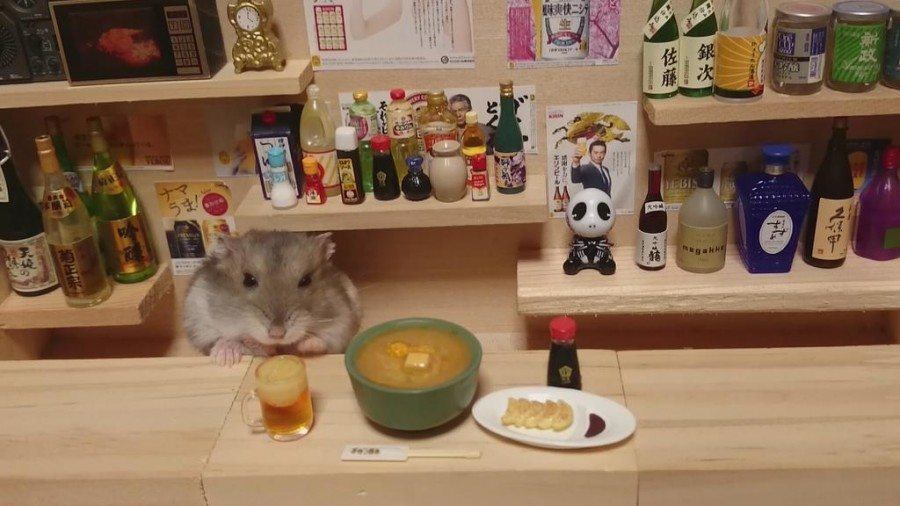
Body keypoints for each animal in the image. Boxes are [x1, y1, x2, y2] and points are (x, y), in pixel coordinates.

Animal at [184, 230, 361, 366]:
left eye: (306, 280)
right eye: (248, 279)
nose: (277, 334)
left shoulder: (342, 325)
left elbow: (321, 342)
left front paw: (302, 343)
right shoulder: (199, 318)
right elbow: (223, 338)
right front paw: (226, 358)